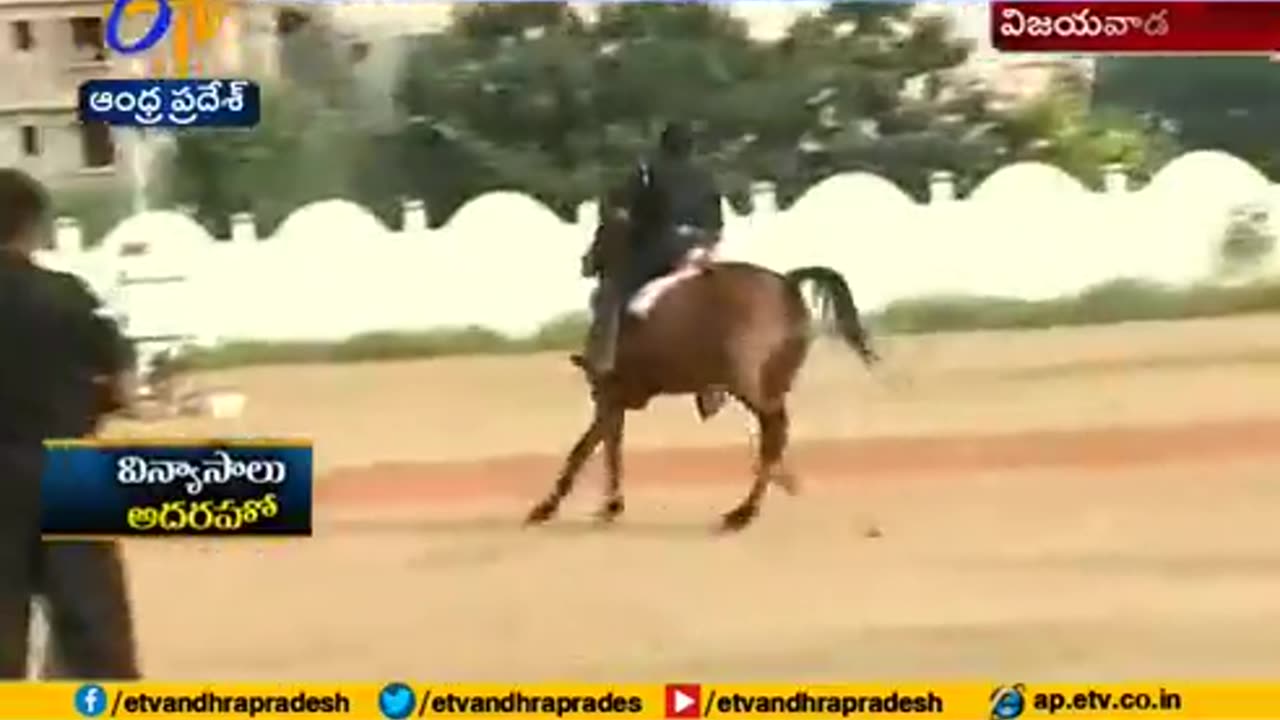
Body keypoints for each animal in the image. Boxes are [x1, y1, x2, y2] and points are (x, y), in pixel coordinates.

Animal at [522, 204, 880, 530]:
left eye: (602, 232)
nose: (585, 262)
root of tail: (787, 283)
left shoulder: (608, 395)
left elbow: (583, 450)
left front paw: (546, 508)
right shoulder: (616, 401)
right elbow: (610, 448)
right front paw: (610, 505)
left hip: (747, 384)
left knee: (773, 431)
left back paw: (743, 513)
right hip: (773, 382)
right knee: (774, 437)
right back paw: (761, 497)